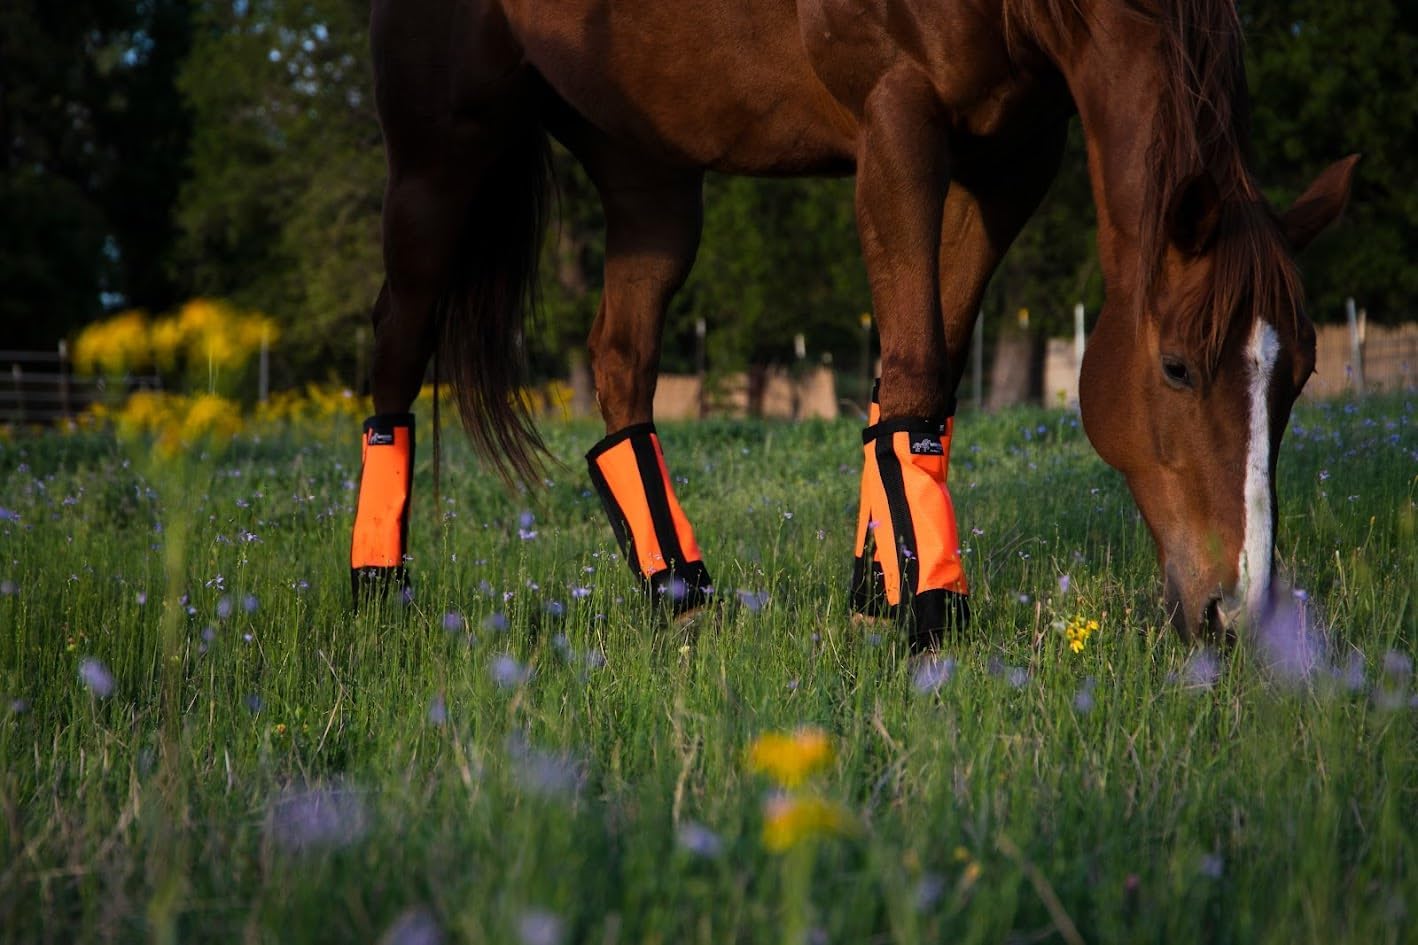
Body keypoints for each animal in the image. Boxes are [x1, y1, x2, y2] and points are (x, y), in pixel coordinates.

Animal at [348, 0, 1357, 649]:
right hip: (439, 155)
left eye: (1302, 372)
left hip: (647, 173)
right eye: (1178, 366)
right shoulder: (898, 115)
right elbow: (913, 366)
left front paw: (878, 592)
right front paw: (928, 614)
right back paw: (380, 595)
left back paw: (680, 595)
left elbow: (923, 379)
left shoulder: (1011, 156)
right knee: (397, 343)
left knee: (619, 360)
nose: (1237, 610)